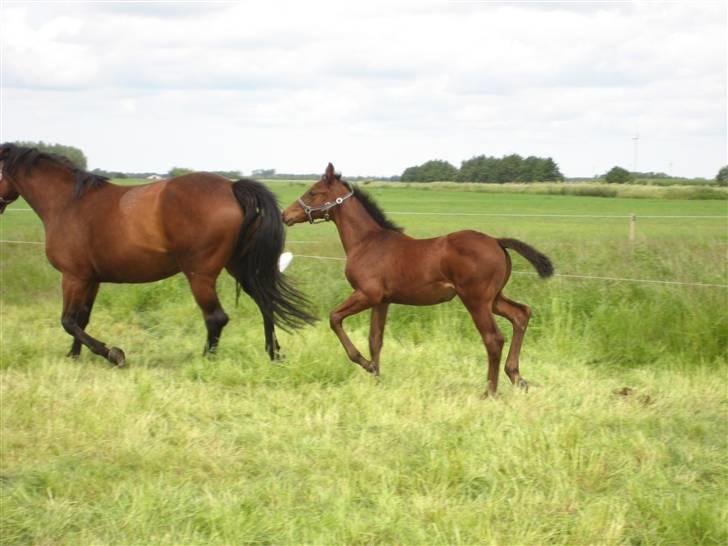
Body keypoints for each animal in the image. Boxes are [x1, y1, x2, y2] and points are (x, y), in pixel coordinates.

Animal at [0, 142, 316, 364]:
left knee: (216, 317)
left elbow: (68, 321)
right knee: (265, 304)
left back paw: (206, 360)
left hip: (200, 274)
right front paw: (74, 357)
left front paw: (113, 354)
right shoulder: (90, 279)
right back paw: (274, 354)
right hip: (240, 267)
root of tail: (232, 187)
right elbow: (81, 319)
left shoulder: (73, 277)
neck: (68, 203)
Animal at [282, 162, 556, 396]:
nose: (286, 215)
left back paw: (489, 391)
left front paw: (365, 364)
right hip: (494, 298)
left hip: (476, 300)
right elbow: (375, 339)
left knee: (494, 338)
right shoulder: (382, 300)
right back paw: (517, 377)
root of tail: (497, 242)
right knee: (521, 314)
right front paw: (376, 376)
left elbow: (334, 318)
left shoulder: (367, 294)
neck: (367, 242)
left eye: (313, 192)